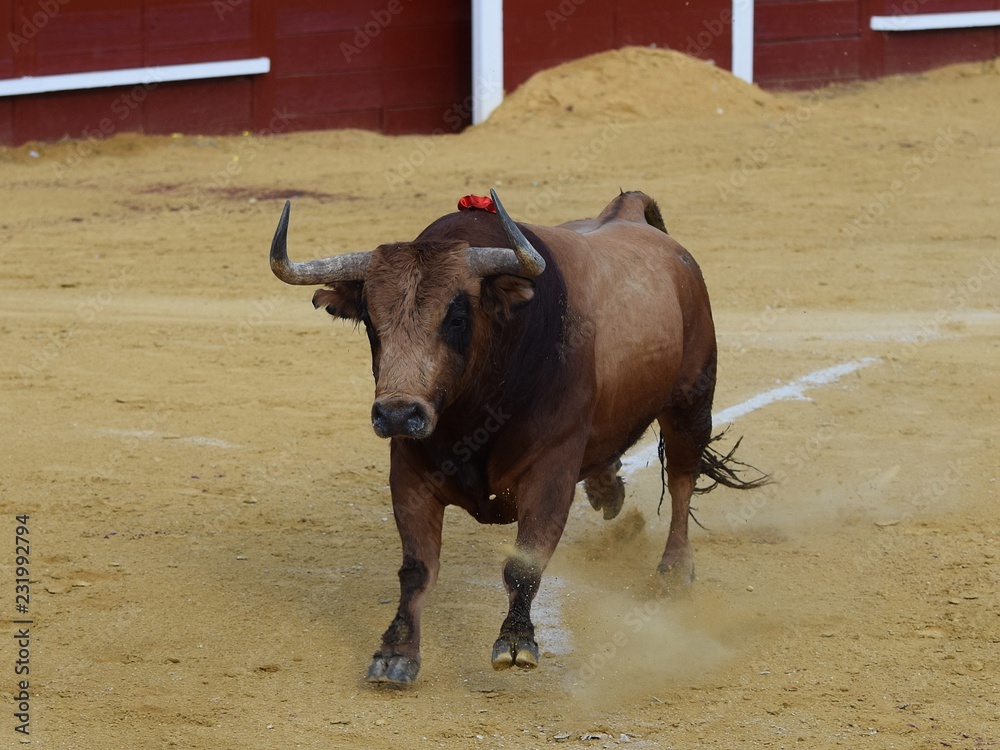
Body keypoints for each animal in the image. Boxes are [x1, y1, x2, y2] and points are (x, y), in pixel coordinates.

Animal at [268, 191, 764, 684]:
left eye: (457, 317)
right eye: (371, 321)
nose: (396, 413)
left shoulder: (551, 469)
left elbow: (524, 563)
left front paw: (515, 640)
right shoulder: (408, 472)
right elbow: (417, 568)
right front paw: (395, 652)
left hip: (691, 403)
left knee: (681, 479)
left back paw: (674, 569)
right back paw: (607, 489)